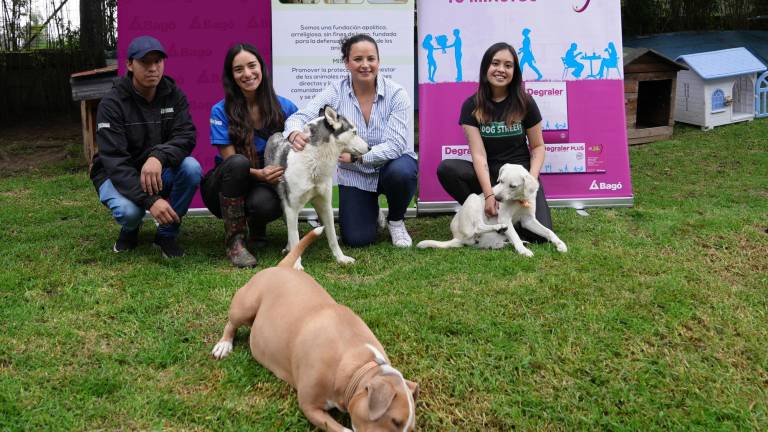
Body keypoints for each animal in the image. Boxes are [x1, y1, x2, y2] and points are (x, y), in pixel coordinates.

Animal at [212, 228, 420, 430]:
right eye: (394, 421)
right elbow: (341, 429)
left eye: (410, 428)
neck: (358, 365)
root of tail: (281, 267)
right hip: (244, 306)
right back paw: (224, 345)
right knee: (231, 324)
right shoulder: (310, 406)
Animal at [266, 106, 370, 268]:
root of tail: (277, 134)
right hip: (285, 204)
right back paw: (288, 248)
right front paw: (296, 264)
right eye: (354, 132)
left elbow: (332, 235)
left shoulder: (326, 205)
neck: (314, 163)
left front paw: (341, 258)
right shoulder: (291, 208)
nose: (370, 147)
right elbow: (295, 237)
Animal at [416, 164, 568, 255]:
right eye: (500, 181)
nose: (497, 199)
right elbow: (515, 236)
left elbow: (548, 232)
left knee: (497, 243)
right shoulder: (504, 217)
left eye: (512, 186)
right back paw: (500, 227)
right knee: (478, 227)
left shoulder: (528, 220)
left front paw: (560, 244)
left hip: (493, 240)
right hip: (473, 199)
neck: (518, 200)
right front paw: (523, 250)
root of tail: (457, 238)